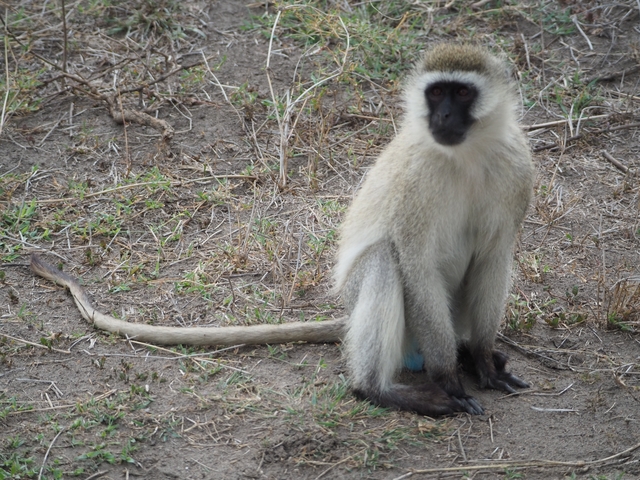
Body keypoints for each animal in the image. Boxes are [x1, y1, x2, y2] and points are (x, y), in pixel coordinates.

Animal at [333, 44, 535, 416]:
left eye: (463, 93)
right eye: (437, 92)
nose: (443, 116)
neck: (466, 156)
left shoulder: (517, 168)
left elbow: (493, 259)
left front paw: (483, 360)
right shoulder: (413, 182)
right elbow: (417, 266)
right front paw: (448, 380)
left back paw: (467, 352)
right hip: (364, 303)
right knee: (383, 258)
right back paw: (378, 389)